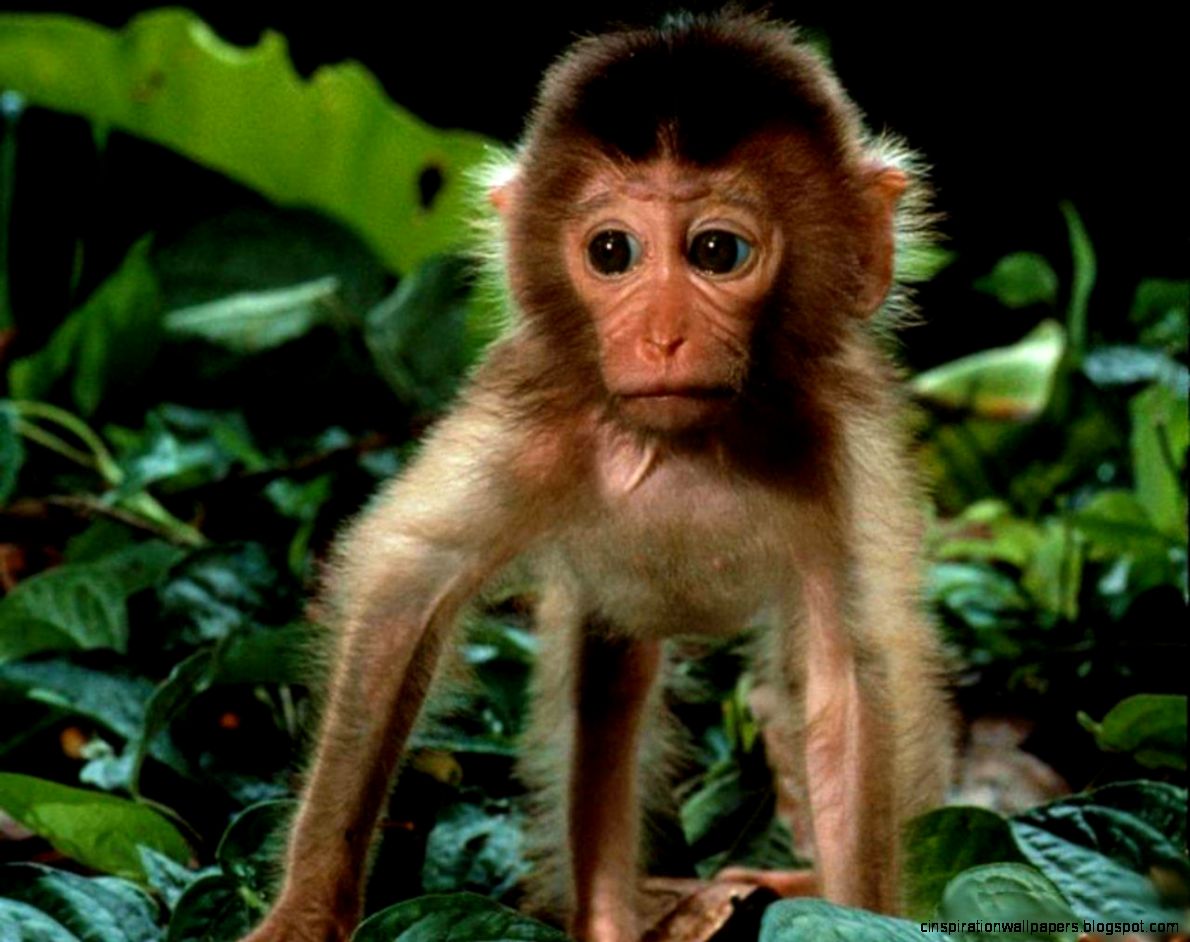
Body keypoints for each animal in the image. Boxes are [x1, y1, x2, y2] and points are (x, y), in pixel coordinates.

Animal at [241, 12, 952, 942]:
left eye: (717, 251)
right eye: (612, 252)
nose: (661, 337)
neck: (689, 447)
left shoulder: (839, 446)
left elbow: (845, 691)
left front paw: (857, 915)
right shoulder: (530, 422)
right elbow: (404, 591)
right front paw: (307, 909)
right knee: (608, 692)